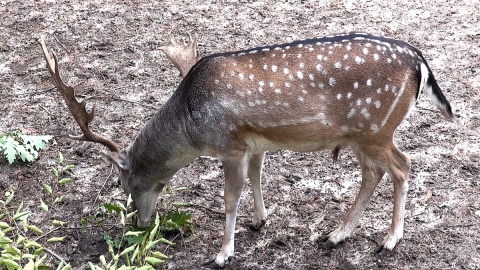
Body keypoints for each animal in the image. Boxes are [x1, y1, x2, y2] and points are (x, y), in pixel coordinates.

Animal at [38, 33, 454, 268]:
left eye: (125, 183)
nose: (140, 224)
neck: (191, 127)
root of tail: (420, 62)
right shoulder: (255, 143)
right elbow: (257, 176)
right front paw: (259, 220)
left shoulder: (230, 145)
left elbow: (230, 197)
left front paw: (223, 253)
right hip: (361, 134)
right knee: (375, 172)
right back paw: (337, 234)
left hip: (375, 128)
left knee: (402, 166)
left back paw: (389, 240)